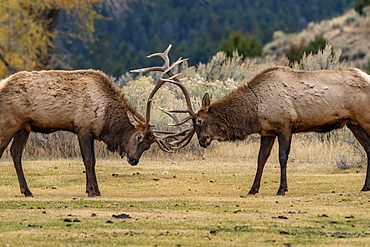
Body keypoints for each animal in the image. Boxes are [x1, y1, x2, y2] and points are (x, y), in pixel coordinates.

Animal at [0, 46, 188, 197]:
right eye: (139, 137)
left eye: (148, 146)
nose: (134, 160)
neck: (106, 119)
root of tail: (3, 84)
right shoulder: (83, 127)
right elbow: (89, 160)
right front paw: (93, 191)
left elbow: (90, 160)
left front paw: (91, 189)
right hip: (9, 122)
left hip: (24, 126)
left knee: (15, 153)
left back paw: (27, 191)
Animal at [160, 65, 370, 195]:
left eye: (200, 120)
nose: (202, 141)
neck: (255, 111)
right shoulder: (267, 131)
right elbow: (261, 158)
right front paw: (253, 189)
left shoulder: (285, 125)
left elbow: (282, 157)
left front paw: (282, 189)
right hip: (354, 123)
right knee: (368, 149)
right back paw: (365, 187)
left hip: (364, 118)